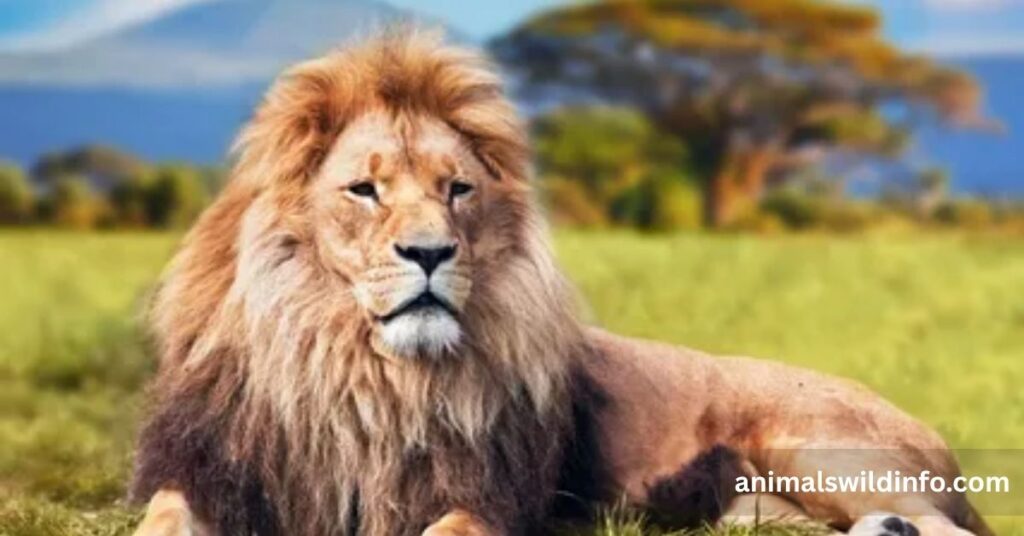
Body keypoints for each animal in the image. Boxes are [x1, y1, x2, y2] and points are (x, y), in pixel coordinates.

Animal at [130, 30, 991, 536]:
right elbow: (165, 521)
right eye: (364, 190)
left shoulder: (490, 496)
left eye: (457, 190)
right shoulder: (207, 474)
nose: (430, 253)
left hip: (821, 449)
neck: (361, 372)